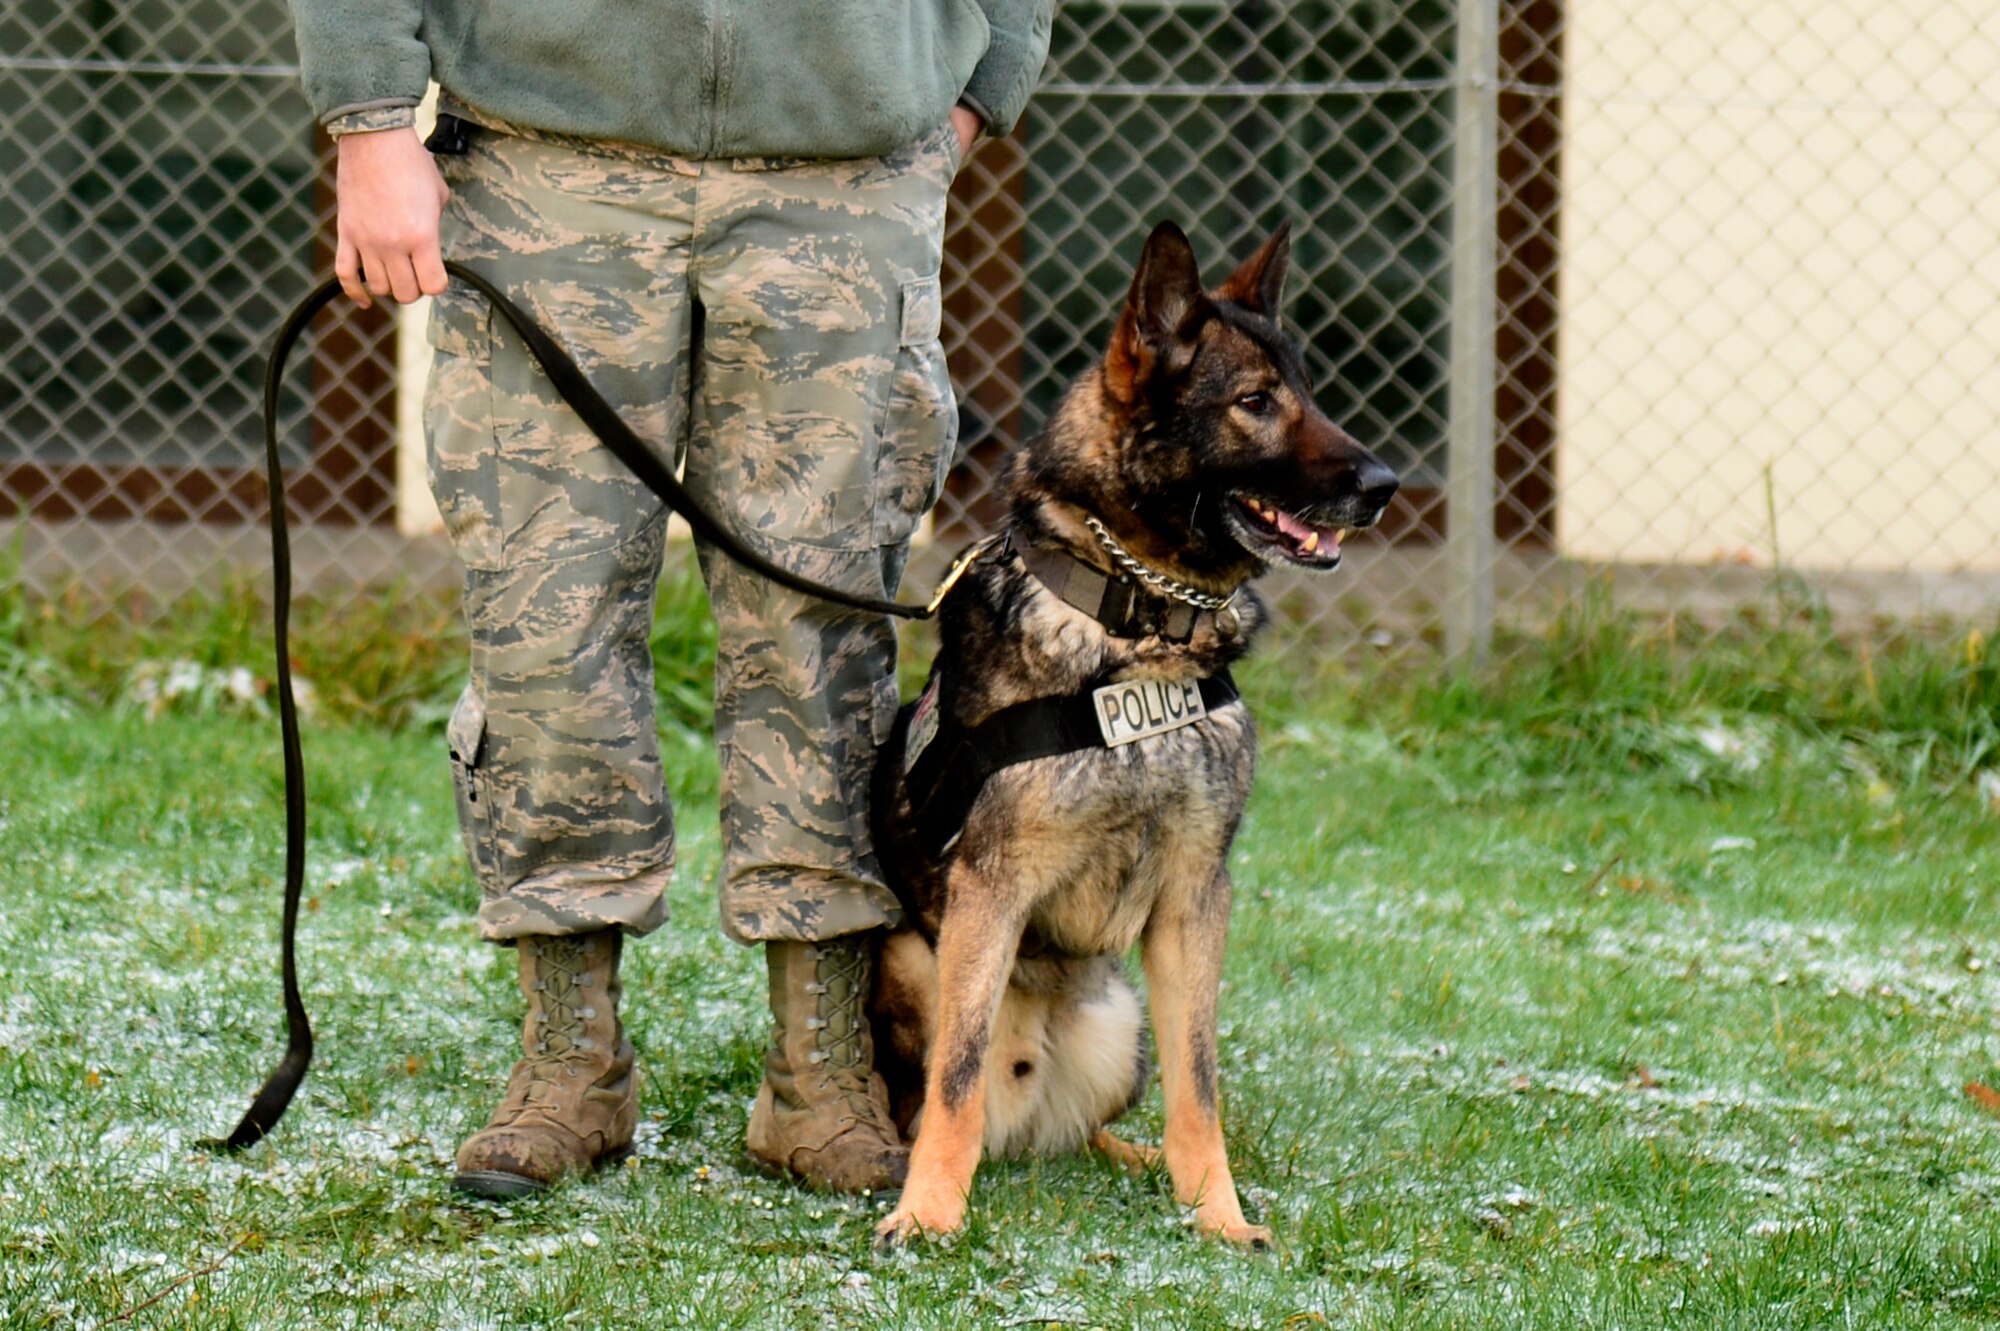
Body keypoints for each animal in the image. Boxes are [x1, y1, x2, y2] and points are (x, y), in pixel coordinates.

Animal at [868, 219, 1400, 1247]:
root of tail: (1026, 1126)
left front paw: (1218, 1212)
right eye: (1254, 402)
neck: (1145, 628)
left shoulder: (1197, 896)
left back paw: (1149, 1167)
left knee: (1091, 1133)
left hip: (1120, 1023)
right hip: (914, 957)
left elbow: (1202, 1082)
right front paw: (928, 1212)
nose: (1386, 485)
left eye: (1310, 396)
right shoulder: (990, 888)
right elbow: (957, 1075)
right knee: (950, 1101)